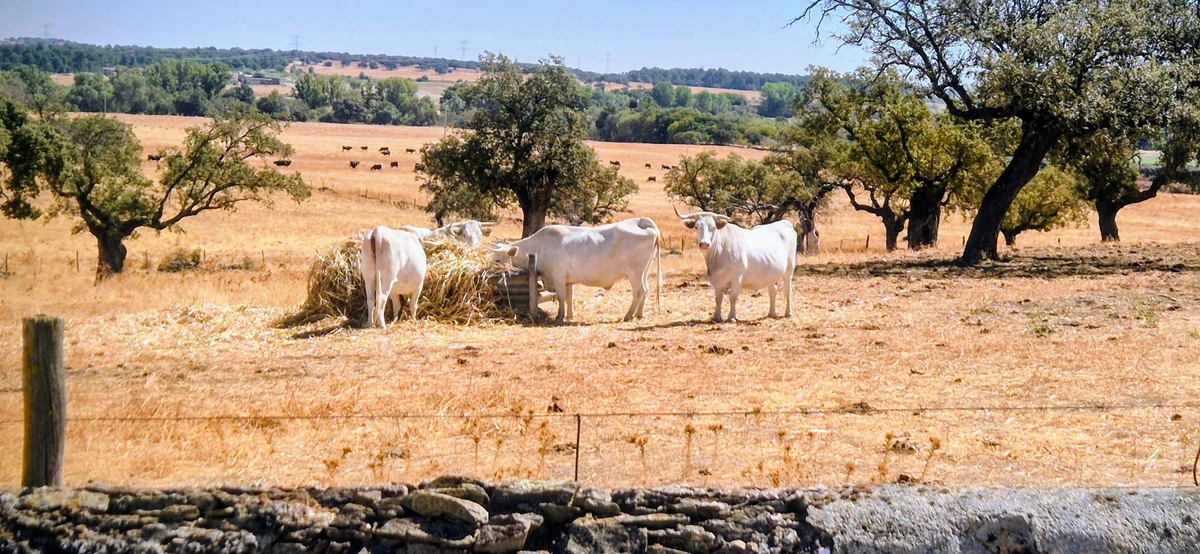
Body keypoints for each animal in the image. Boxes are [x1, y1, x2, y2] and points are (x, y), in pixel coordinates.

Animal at [489, 218, 661, 323]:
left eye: (497, 260)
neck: (540, 246)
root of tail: (640, 221)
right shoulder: (568, 280)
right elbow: (569, 297)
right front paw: (570, 315)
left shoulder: (558, 276)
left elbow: (561, 297)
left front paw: (560, 316)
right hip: (644, 272)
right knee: (645, 290)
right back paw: (639, 313)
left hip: (635, 273)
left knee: (639, 291)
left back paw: (629, 315)